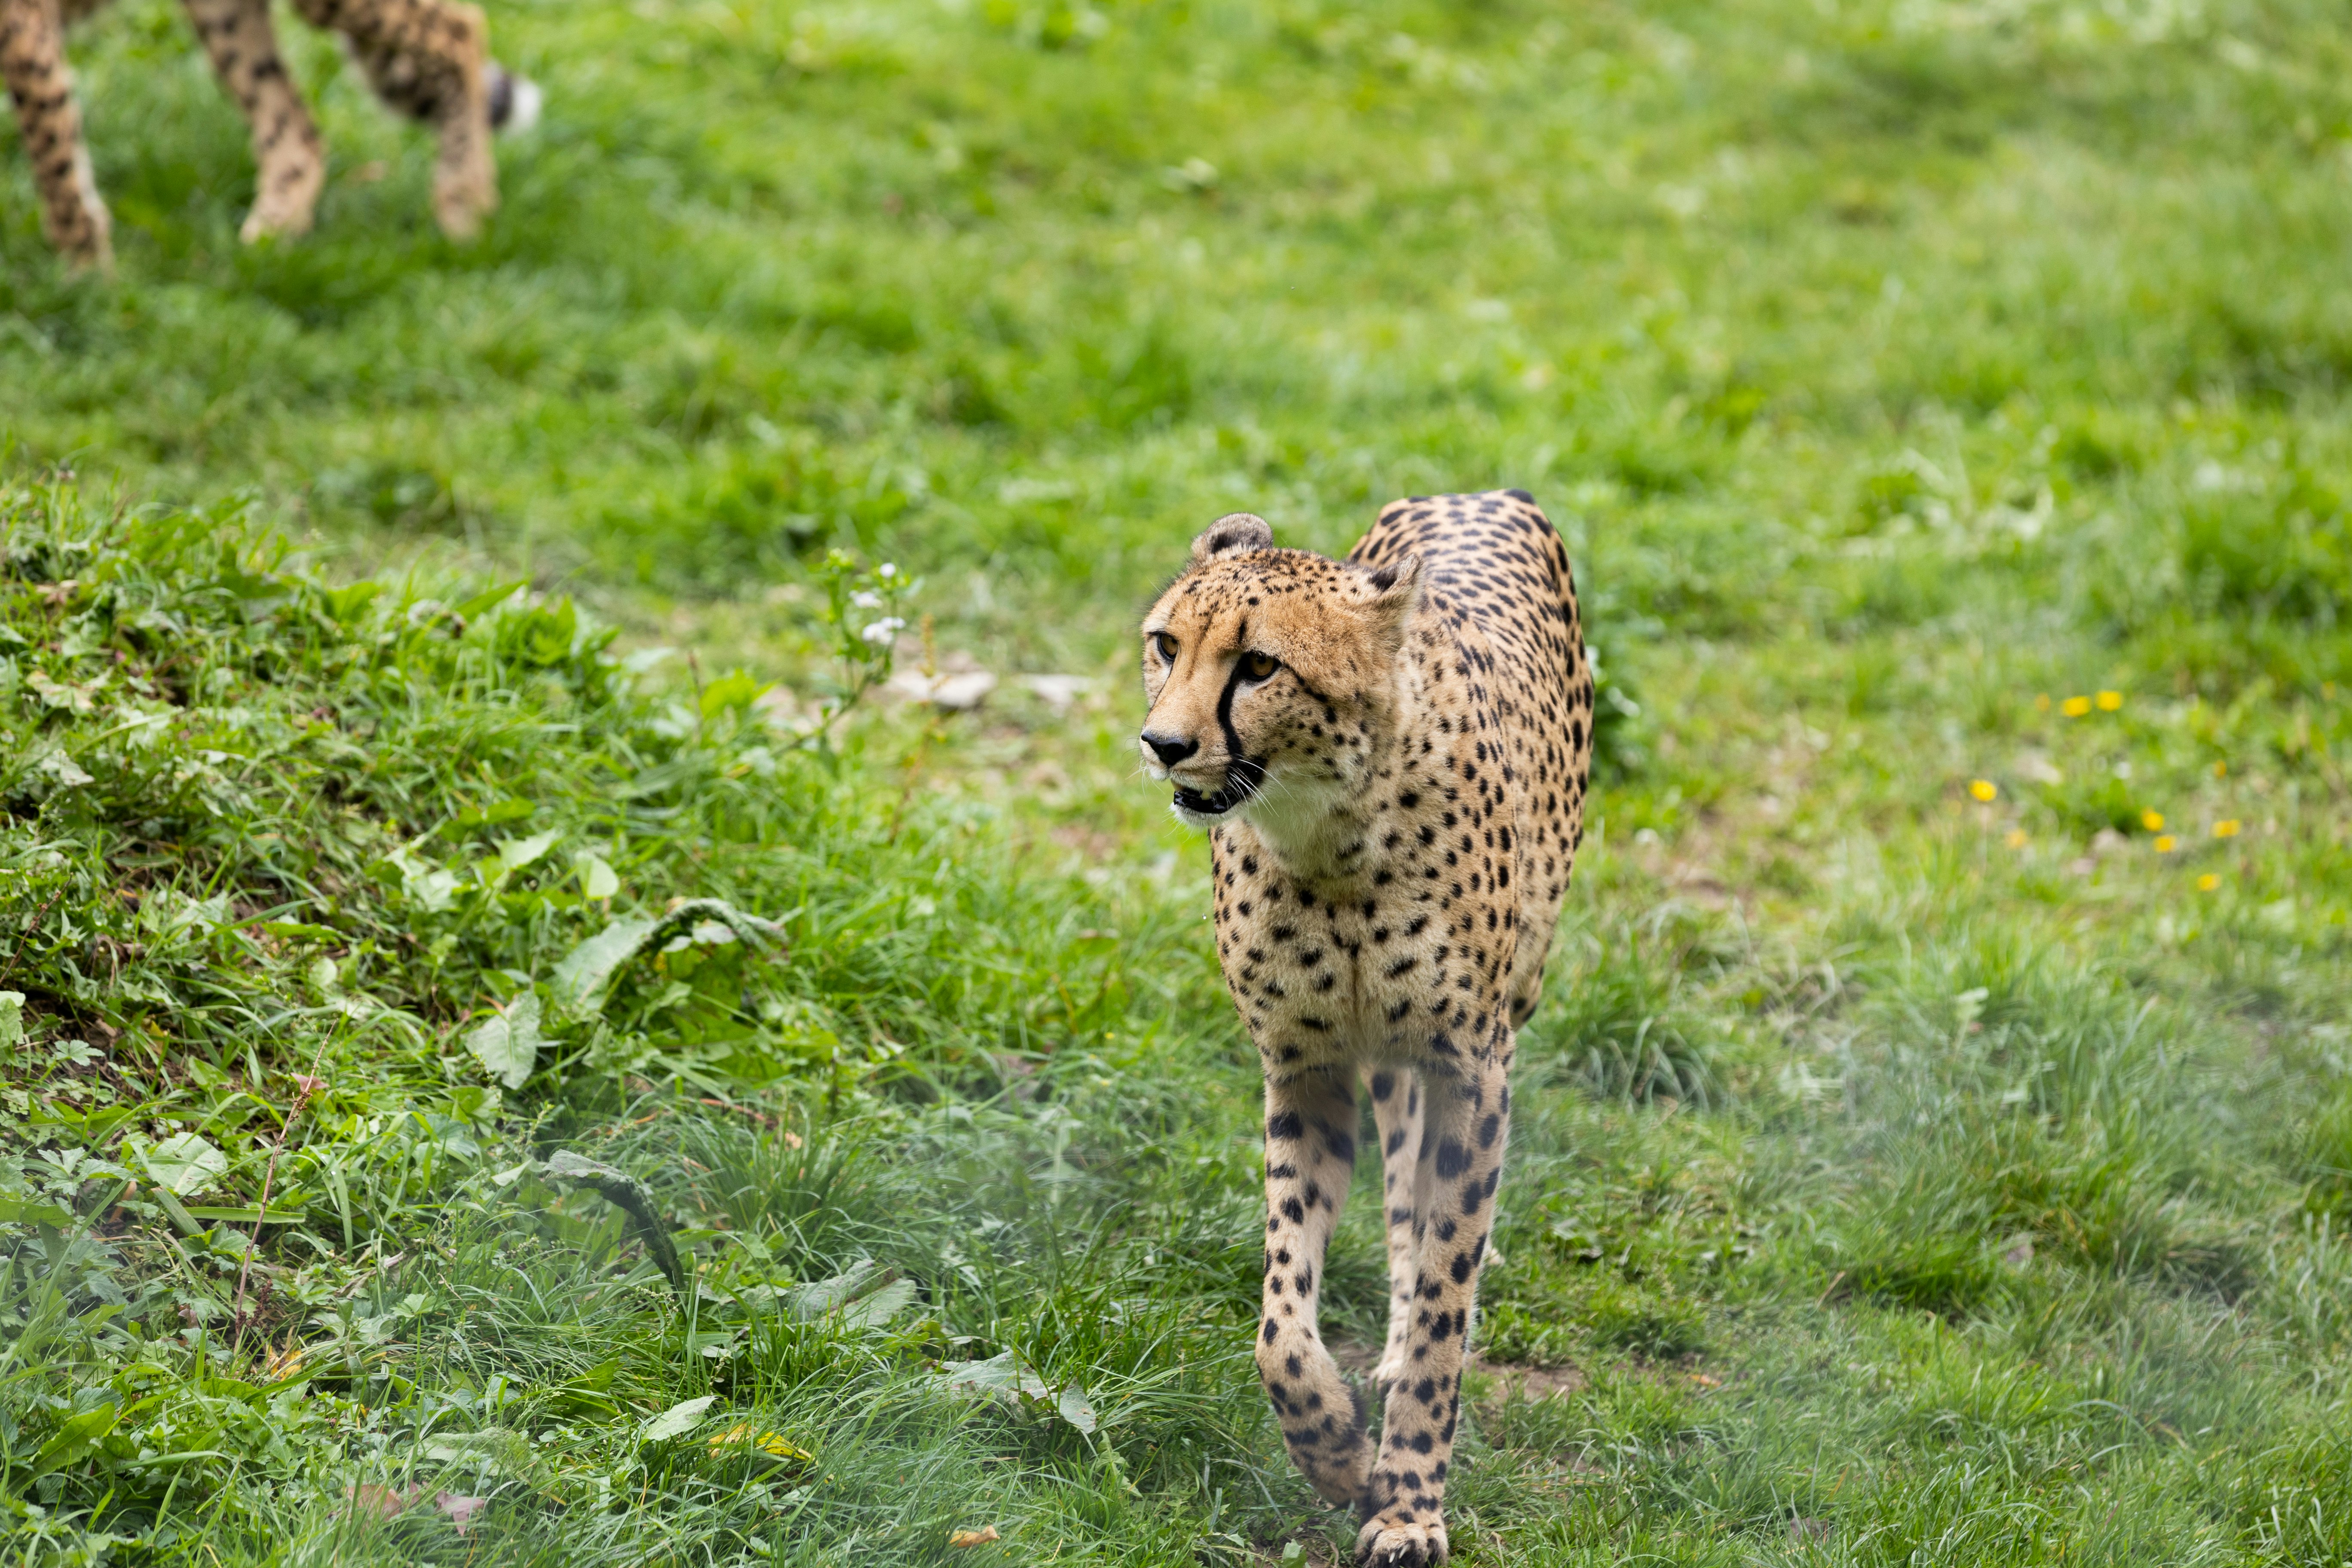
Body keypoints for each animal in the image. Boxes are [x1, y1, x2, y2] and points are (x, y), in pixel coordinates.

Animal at [1, 0, 540, 272]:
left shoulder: (22, 27)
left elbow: (59, 178)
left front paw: (91, 284)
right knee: (295, 128)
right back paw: (266, 244)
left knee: (462, 29)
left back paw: (464, 206)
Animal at [1137, 489, 1593, 1565]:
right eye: (1166, 646)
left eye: (1260, 666)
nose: (1162, 745)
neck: (1330, 840)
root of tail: (1478, 492)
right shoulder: (1306, 1067)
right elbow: (1279, 1321)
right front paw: (1339, 1453)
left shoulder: (1476, 1068)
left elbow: (1447, 1293)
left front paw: (1408, 1502)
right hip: (1386, 1060)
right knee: (1400, 1190)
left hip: (1505, 1003)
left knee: (1433, 1213)